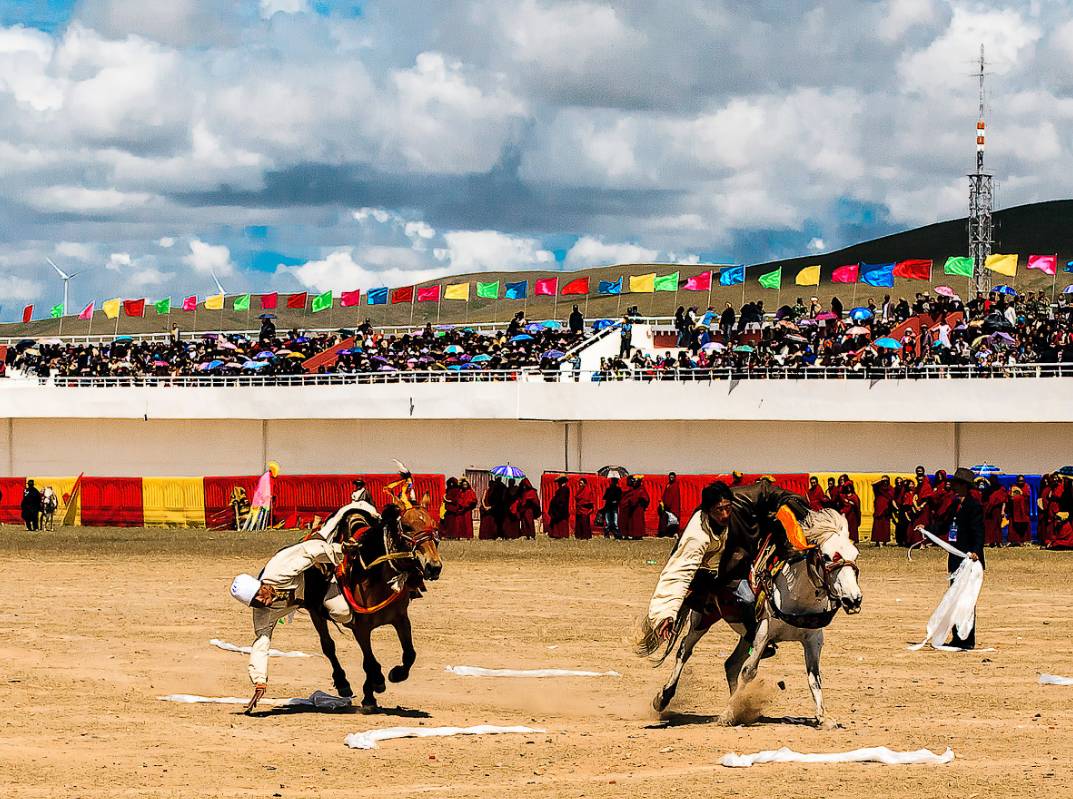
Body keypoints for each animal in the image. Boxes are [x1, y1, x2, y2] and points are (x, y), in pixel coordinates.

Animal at [302, 493, 439, 712]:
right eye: (407, 526)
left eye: (434, 525)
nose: (434, 566)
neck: (376, 576)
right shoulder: (361, 628)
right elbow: (370, 662)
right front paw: (377, 683)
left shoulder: (401, 619)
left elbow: (409, 654)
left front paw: (394, 676)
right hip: (315, 612)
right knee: (328, 646)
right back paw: (342, 683)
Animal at [652, 508, 862, 724]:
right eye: (827, 556)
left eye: (855, 554)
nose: (853, 600)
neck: (796, 596)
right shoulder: (763, 632)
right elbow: (749, 671)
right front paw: (727, 713)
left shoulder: (813, 639)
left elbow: (814, 677)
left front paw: (823, 717)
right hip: (702, 619)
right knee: (684, 650)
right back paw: (664, 698)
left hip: (745, 636)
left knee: (731, 664)